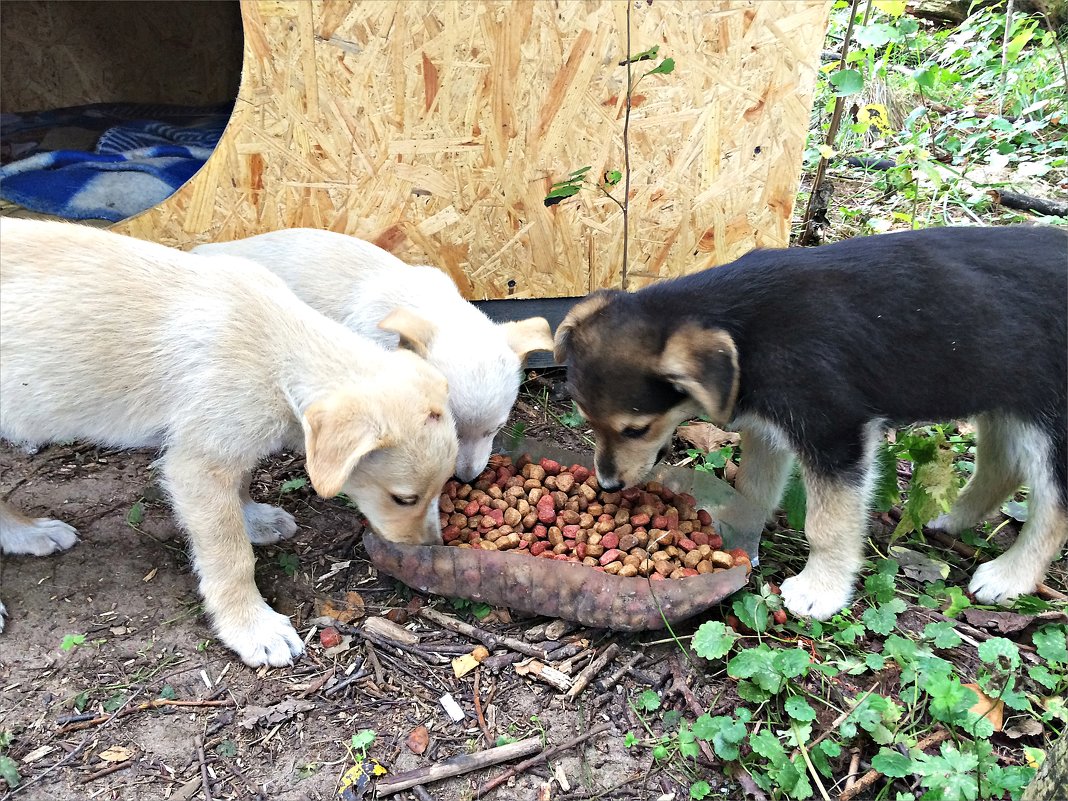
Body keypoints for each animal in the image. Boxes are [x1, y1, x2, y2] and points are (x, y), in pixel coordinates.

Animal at [0, 216, 454, 666]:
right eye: (404, 499)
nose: (429, 548)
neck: (278, 350)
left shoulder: (229, 449)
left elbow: (242, 484)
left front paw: (253, 519)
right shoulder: (198, 468)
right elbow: (232, 557)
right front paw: (253, 626)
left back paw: (29, 534)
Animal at [555, 226, 1063, 619]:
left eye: (635, 430)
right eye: (589, 421)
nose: (607, 486)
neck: (746, 333)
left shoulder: (834, 433)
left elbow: (828, 525)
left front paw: (821, 591)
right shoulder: (770, 431)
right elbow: (753, 490)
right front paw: (735, 534)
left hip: (1051, 422)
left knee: (1053, 510)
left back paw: (1009, 577)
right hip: (1003, 399)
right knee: (1003, 467)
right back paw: (951, 518)